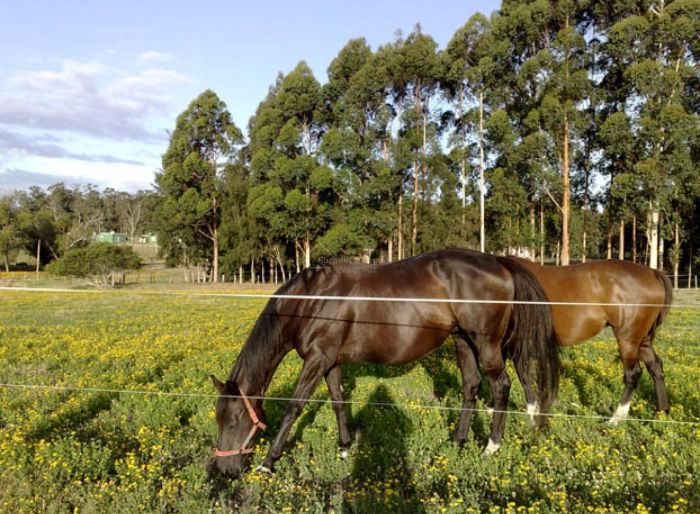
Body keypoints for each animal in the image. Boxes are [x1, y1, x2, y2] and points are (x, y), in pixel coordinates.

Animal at [211, 248, 560, 476]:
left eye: (233, 421)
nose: (224, 469)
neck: (312, 300)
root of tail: (499, 261)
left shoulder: (315, 360)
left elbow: (294, 407)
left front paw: (268, 462)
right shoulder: (330, 361)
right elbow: (338, 401)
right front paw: (344, 446)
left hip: (485, 344)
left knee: (501, 387)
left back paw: (491, 447)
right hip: (463, 340)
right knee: (471, 386)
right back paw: (458, 440)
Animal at [512, 258, 668, 422]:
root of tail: (652, 273)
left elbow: (522, 375)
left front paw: (532, 414)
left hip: (628, 339)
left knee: (633, 374)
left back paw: (616, 419)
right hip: (642, 339)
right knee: (655, 366)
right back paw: (661, 412)